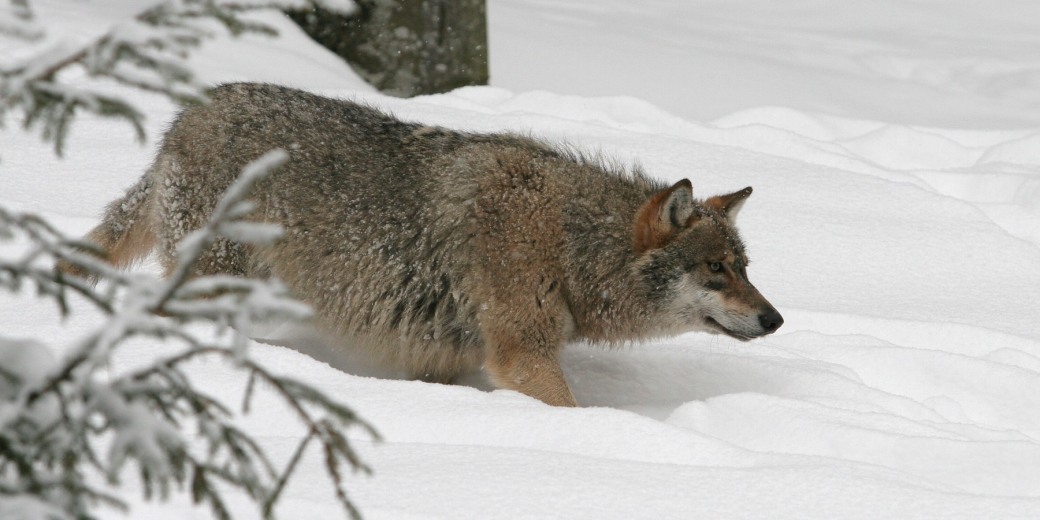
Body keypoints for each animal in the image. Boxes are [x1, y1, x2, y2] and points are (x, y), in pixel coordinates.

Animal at [71, 82, 782, 405]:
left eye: (744, 267)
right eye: (715, 269)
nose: (775, 319)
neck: (569, 245)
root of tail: (185, 114)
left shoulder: (440, 355)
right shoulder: (522, 356)